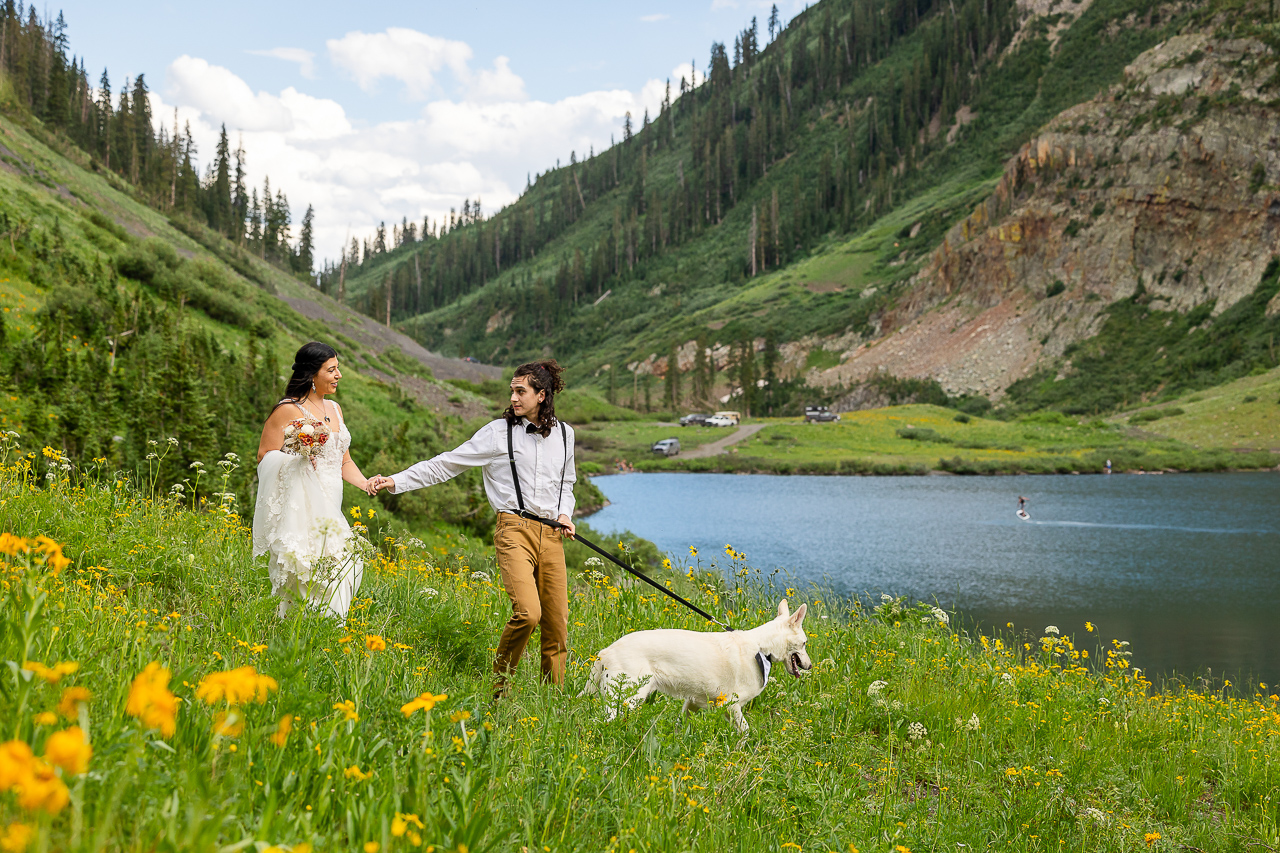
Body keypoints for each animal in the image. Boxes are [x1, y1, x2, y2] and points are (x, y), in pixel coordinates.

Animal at [581, 596, 808, 732]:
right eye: (805, 643)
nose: (810, 666)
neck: (761, 647)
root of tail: (607, 650)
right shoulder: (732, 705)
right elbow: (745, 732)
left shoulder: (693, 703)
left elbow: (681, 724)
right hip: (628, 700)